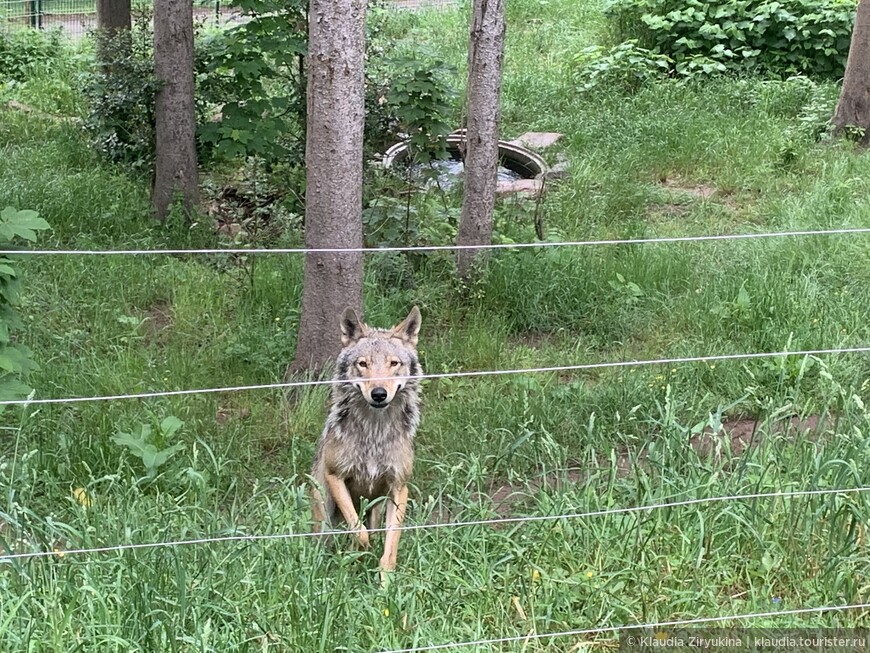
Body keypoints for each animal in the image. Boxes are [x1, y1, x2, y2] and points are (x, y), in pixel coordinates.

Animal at [312, 306, 424, 576]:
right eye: (362, 364)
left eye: (394, 363)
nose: (379, 393)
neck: (375, 433)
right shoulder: (335, 476)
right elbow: (359, 532)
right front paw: (357, 553)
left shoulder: (399, 486)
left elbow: (389, 548)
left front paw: (385, 580)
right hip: (324, 514)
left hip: (377, 506)